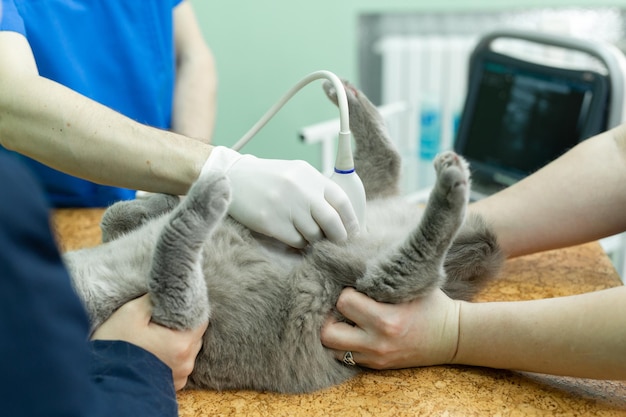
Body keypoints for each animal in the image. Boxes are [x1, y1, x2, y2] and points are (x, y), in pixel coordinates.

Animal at [63, 79, 502, 392]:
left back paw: (347, 95)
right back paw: (451, 183)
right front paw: (206, 195)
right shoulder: (180, 316)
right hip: (361, 286)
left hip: (353, 206)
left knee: (386, 164)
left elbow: (115, 219)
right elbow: (170, 246)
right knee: (414, 267)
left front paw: (164, 199)